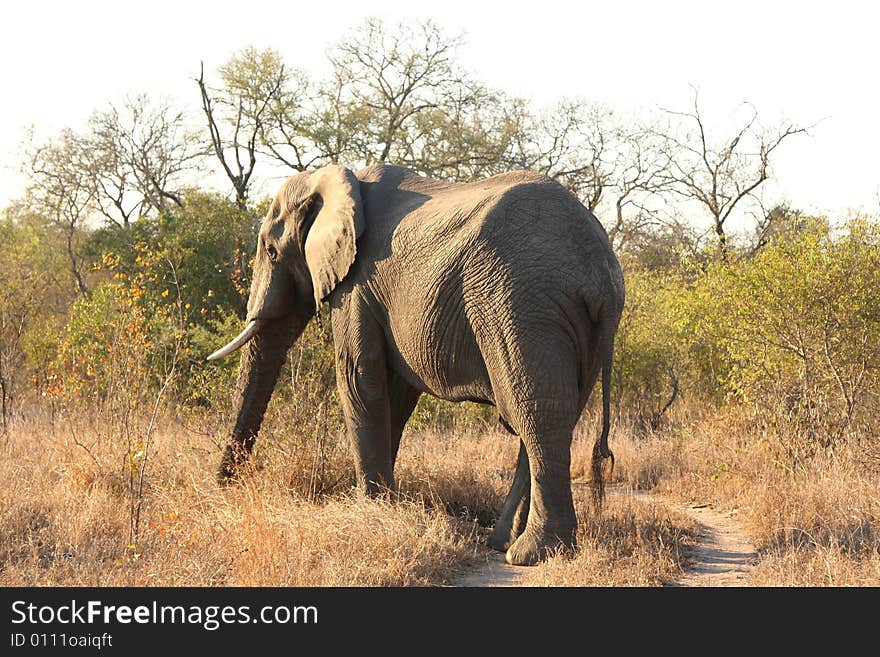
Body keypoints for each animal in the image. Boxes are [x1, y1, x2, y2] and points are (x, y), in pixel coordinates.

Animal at [206, 163, 624, 564]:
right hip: (571, 325)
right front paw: (384, 505)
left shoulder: (358, 284)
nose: (226, 487)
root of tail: (600, 269)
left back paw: (531, 554)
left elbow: (360, 379)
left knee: (534, 412)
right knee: (552, 415)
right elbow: (396, 395)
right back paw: (503, 542)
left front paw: (371, 511)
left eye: (271, 251)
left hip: (521, 304)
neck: (332, 178)